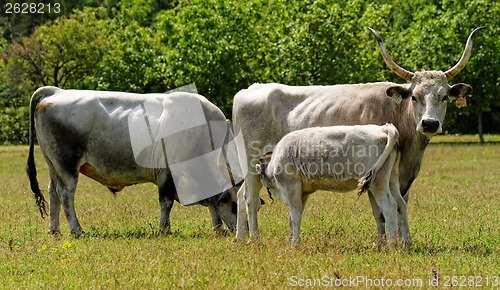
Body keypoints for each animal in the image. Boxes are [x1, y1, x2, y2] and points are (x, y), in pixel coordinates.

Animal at [27, 86, 242, 236]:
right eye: (235, 205)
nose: (240, 229)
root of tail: (56, 91)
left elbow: (210, 200)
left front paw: (218, 227)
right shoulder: (167, 173)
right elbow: (166, 203)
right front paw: (164, 229)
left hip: (53, 166)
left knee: (53, 192)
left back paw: (54, 230)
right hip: (67, 166)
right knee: (65, 194)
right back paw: (77, 229)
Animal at [256, 123, 408, 246]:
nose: (262, 200)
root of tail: (384, 128)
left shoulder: (291, 187)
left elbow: (294, 218)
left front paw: (294, 244)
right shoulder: (302, 193)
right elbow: (292, 217)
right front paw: (290, 242)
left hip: (378, 183)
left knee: (389, 206)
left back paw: (392, 244)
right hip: (391, 179)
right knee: (400, 204)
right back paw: (405, 243)